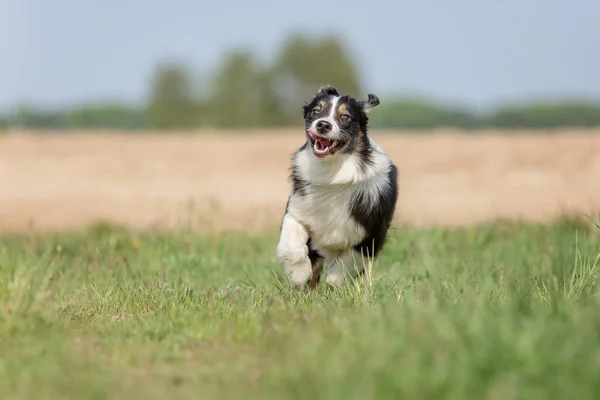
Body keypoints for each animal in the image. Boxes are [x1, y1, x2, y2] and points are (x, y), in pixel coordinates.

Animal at [276, 85, 398, 290]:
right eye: (316, 111)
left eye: (346, 116)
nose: (323, 125)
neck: (332, 172)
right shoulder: (297, 210)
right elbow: (291, 244)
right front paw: (299, 275)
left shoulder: (372, 233)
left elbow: (345, 265)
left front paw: (334, 283)